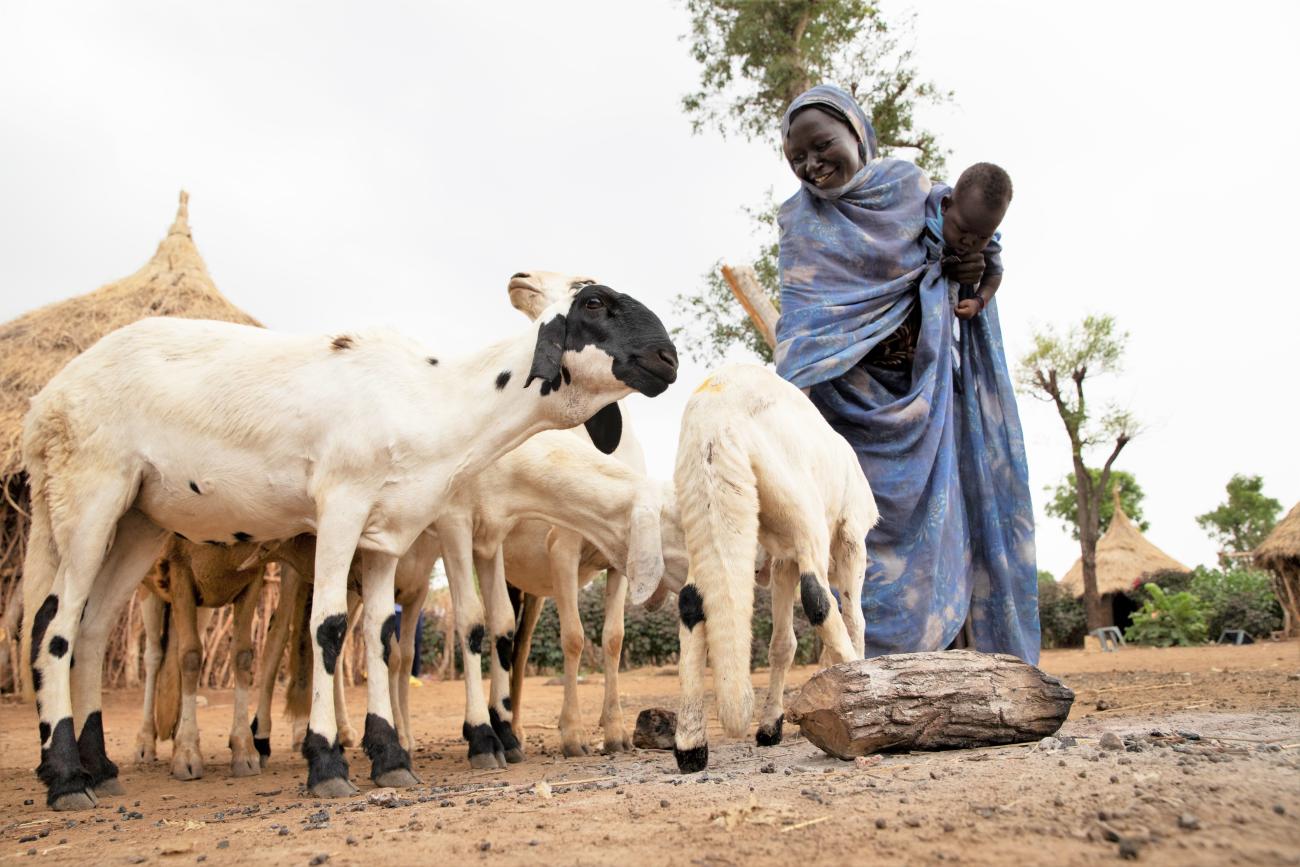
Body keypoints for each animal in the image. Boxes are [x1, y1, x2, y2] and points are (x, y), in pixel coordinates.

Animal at [20, 288, 681, 811]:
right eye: (593, 303)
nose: (667, 359)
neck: (433, 395)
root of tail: (44, 404)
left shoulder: (387, 531)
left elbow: (382, 638)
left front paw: (390, 758)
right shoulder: (344, 506)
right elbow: (331, 627)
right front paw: (329, 764)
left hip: (139, 519)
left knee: (92, 629)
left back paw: (101, 768)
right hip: (91, 492)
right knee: (53, 624)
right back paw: (68, 778)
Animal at [665, 363, 878, 774]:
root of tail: (714, 426)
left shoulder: (785, 556)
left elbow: (782, 643)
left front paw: (769, 727)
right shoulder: (846, 538)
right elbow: (848, 618)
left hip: (706, 522)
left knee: (691, 601)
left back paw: (691, 746)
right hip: (806, 516)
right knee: (819, 598)